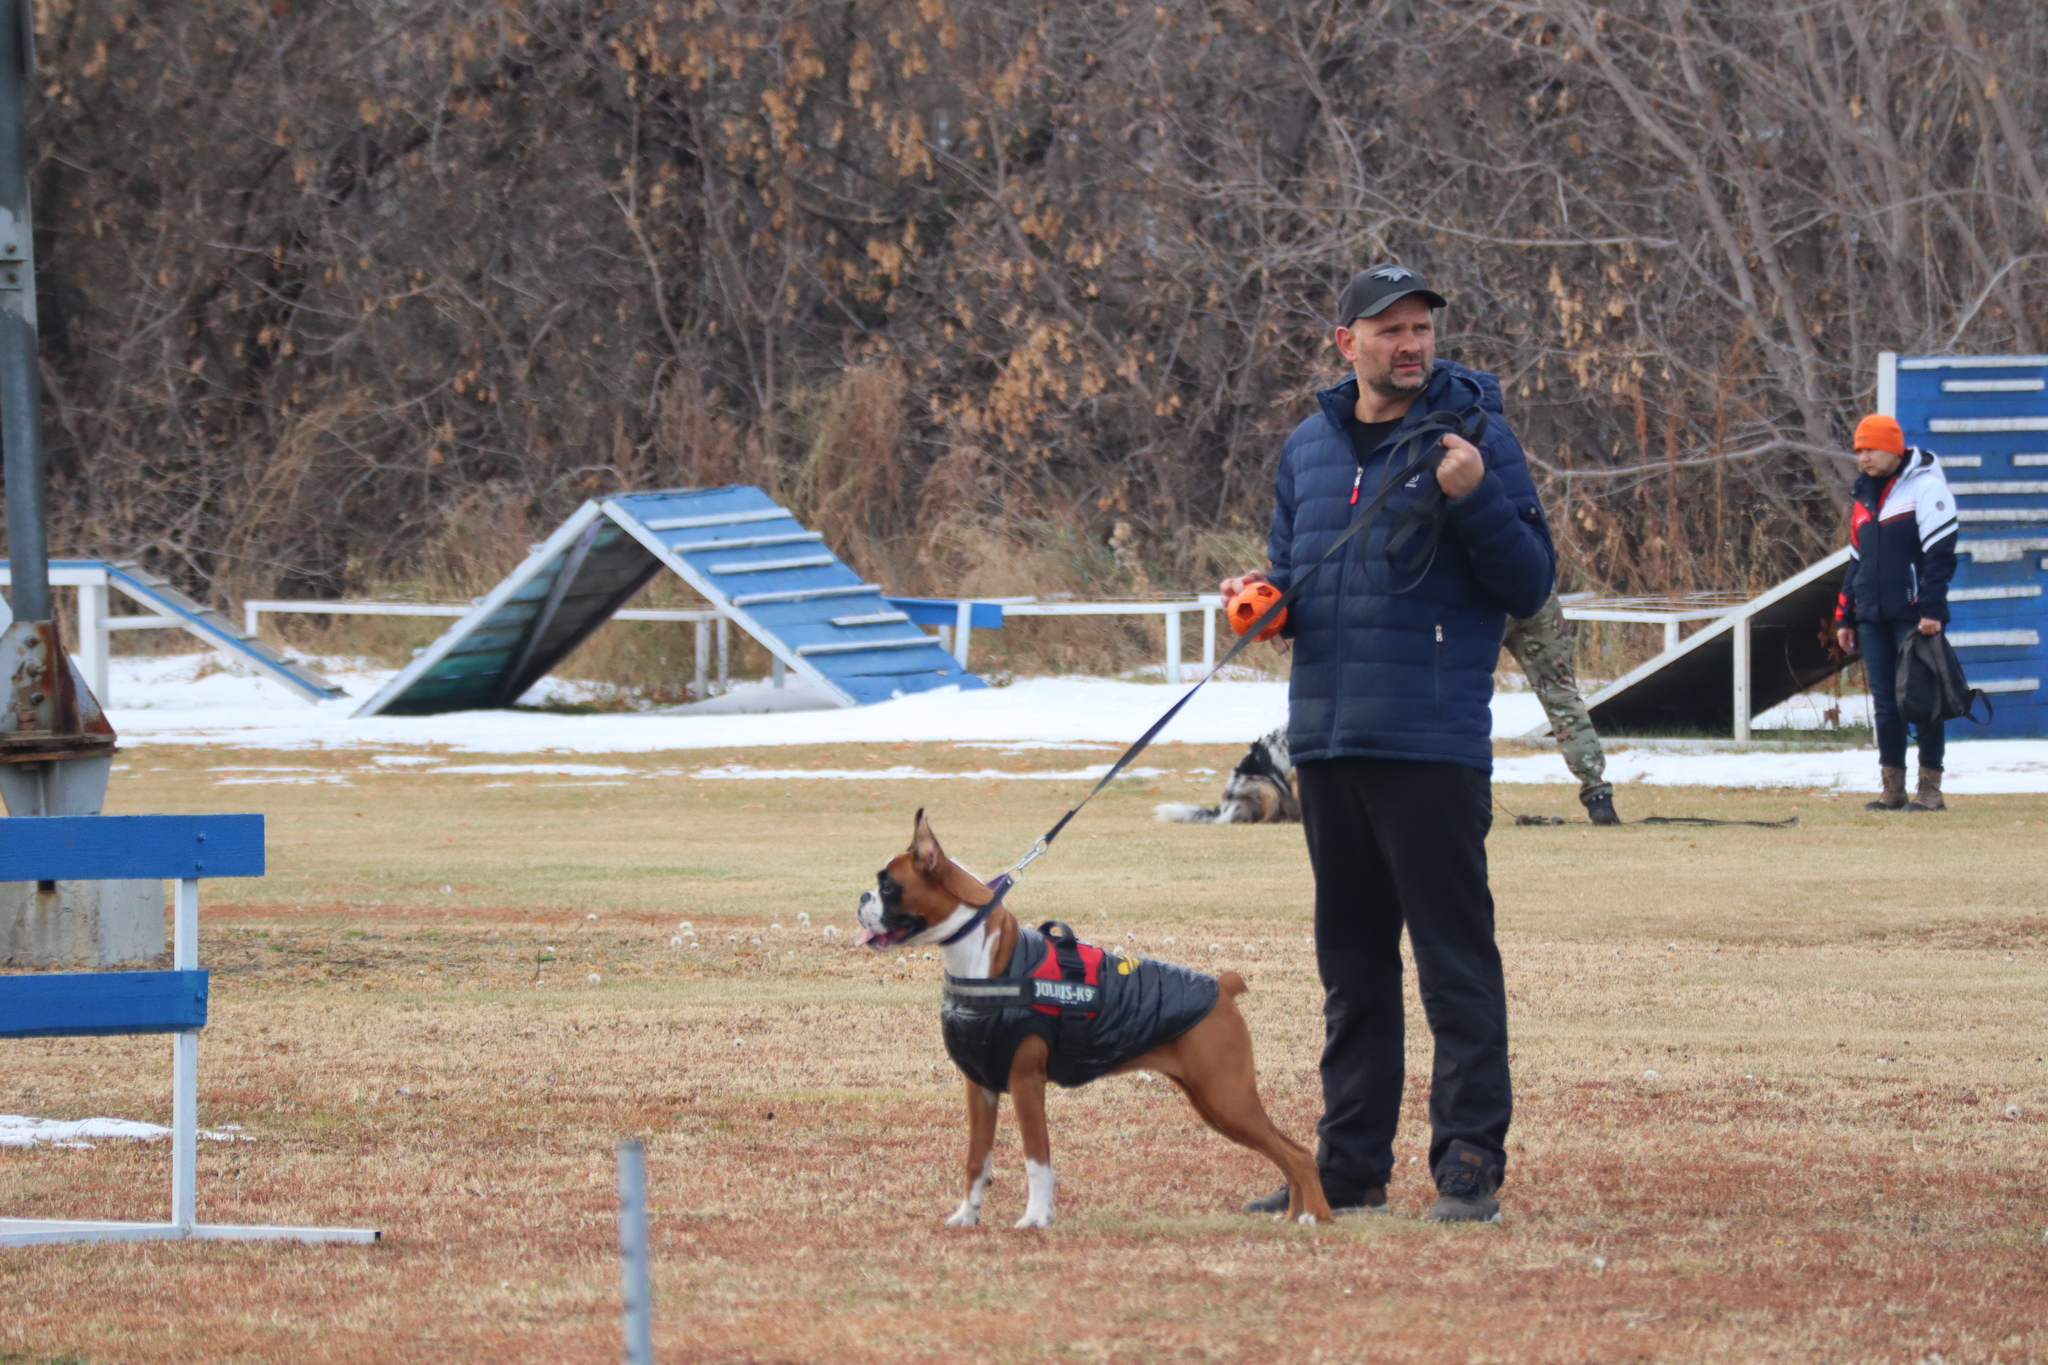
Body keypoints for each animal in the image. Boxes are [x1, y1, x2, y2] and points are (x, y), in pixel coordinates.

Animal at [851, 810, 1318, 1227]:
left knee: (1298, 1155)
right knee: (1290, 1155)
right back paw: (1300, 1216)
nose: (861, 898)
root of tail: (1222, 987)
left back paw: (1313, 1217)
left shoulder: (1026, 1082)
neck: (986, 962)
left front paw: (1036, 1218)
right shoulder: (979, 1086)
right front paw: (967, 1216)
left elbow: (1036, 1158)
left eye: (888, 885)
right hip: (1213, 1102)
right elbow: (976, 1159)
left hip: (1227, 1097)